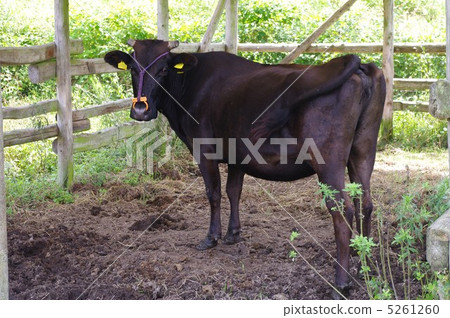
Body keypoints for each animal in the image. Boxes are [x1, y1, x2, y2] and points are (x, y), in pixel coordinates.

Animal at [105, 39, 386, 298]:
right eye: (133, 68)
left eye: (163, 69)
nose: (140, 110)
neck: (192, 85)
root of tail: (359, 65)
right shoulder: (237, 154)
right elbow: (234, 191)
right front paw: (233, 233)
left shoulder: (204, 150)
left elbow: (214, 193)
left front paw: (211, 238)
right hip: (363, 151)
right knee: (365, 203)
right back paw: (364, 260)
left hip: (329, 160)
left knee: (342, 210)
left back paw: (341, 282)